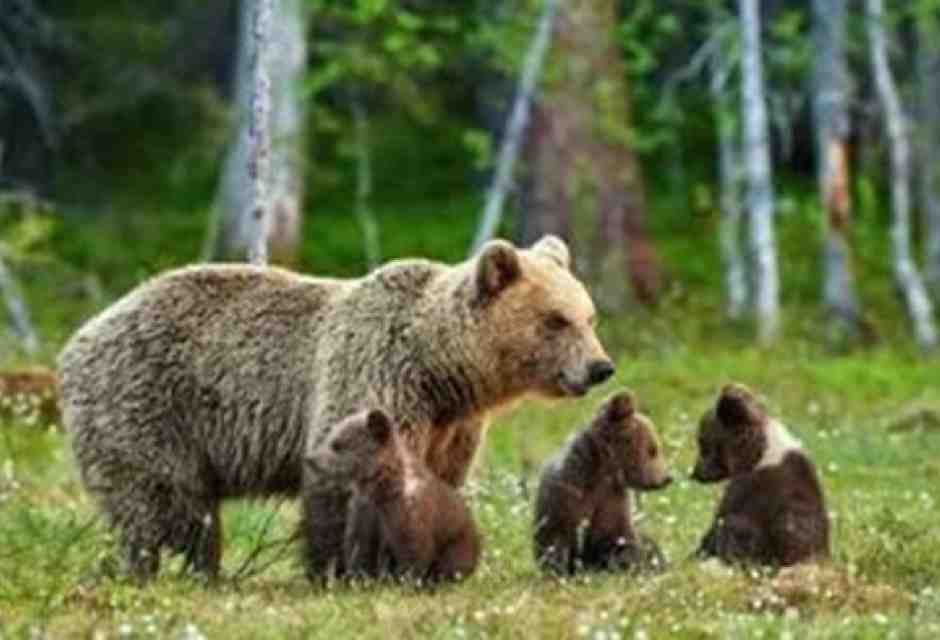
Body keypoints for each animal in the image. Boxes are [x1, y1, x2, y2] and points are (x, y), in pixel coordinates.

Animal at [306, 408, 480, 583]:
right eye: (330, 437)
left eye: (338, 445)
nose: (309, 459)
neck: (381, 490)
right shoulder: (364, 514)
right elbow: (359, 551)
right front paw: (358, 578)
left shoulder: (408, 516)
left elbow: (414, 552)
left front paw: (406, 581)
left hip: (458, 544)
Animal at [533, 390, 672, 575]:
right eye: (653, 450)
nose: (667, 478)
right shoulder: (567, 498)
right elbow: (556, 542)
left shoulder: (613, 503)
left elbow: (622, 540)